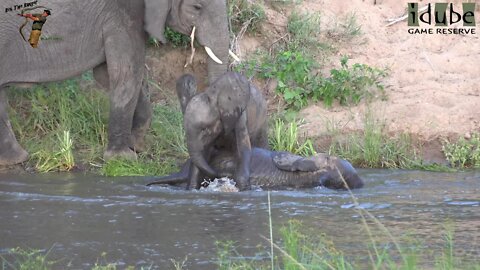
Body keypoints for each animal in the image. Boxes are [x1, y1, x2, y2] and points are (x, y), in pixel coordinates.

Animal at [0, 0, 232, 166]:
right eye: (197, 7)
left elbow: (114, 75)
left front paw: (137, 146)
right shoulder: (123, 14)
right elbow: (125, 73)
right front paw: (123, 158)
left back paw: (14, 159)